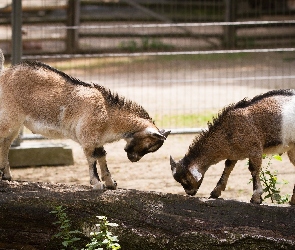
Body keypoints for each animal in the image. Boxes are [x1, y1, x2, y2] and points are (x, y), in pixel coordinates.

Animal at [0, 48, 170, 189]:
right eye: (149, 145)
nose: (133, 159)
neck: (109, 114)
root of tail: (3, 75)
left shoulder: (98, 139)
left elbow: (102, 156)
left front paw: (111, 183)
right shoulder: (88, 137)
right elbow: (92, 158)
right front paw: (97, 184)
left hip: (15, 124)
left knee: (5, 143)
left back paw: (6, 176)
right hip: (10, 117)